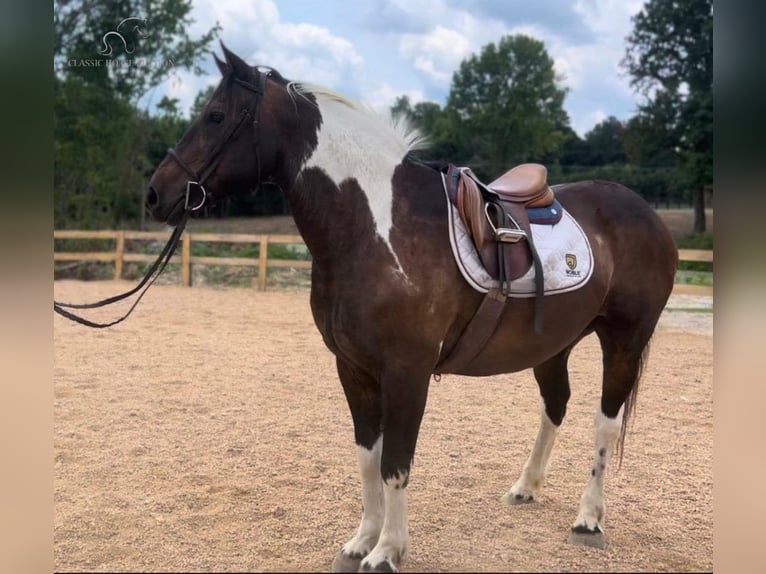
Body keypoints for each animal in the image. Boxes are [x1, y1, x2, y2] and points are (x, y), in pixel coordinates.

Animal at [142, 44, 680, 572]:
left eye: (215, 116)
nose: (155, 194)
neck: (372, 231)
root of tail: (643, 210)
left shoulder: (407, 371)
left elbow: (396, 462)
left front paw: (387, 552)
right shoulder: (353, 369)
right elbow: (368, 458)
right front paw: (361, 541)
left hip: (624, 341)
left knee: (605, 422)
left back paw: (588, 519)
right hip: (554, 345)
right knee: (556, 404)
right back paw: (525, 488)